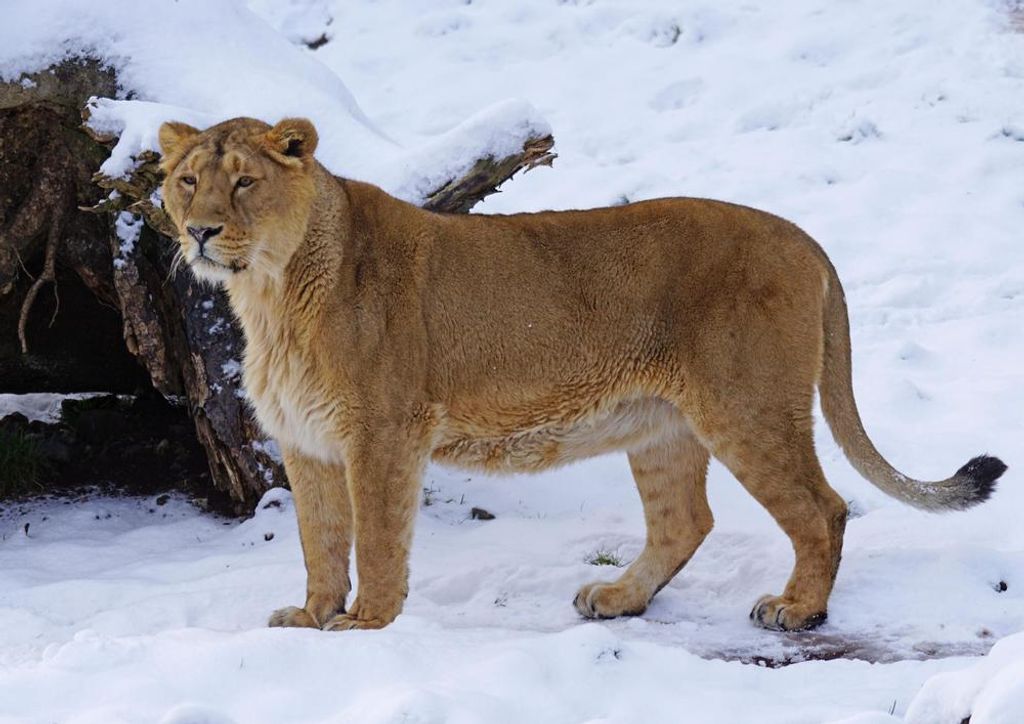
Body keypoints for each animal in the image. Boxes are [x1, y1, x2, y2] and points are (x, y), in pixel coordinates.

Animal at [158, 116, 1006, 632]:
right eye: (186, 182)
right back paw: (620, 597)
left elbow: (378, 540)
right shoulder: (306, 444)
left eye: (244, 182)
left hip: (748, 407)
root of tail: (802, 235)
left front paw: (368, 626)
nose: (199, 231)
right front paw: (310, 619)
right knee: (685, 520)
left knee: (823, 509)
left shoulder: (385, 433)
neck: (271, 294)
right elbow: (321, 541)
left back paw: (797, 610)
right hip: (664, 426)